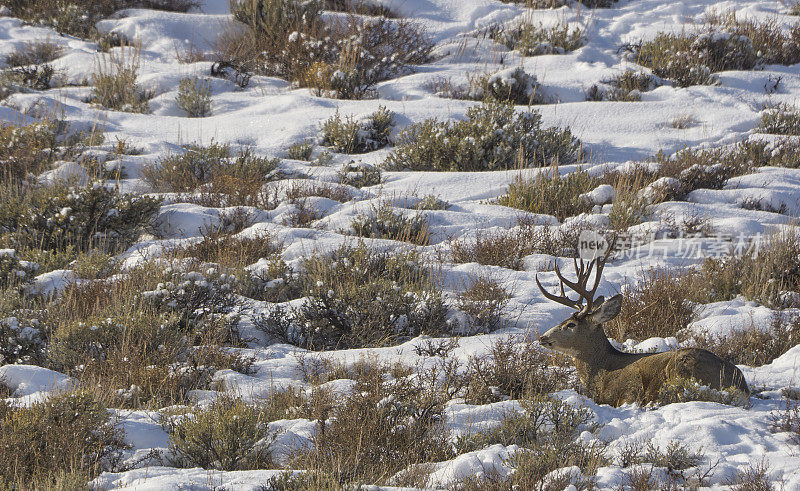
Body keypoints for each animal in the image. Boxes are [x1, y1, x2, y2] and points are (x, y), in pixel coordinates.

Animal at [536, 250, 752, 408]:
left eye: (570, 325)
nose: (542, 338)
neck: (600, 372)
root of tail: (742, 387)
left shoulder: (630, 388)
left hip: (681, 367)